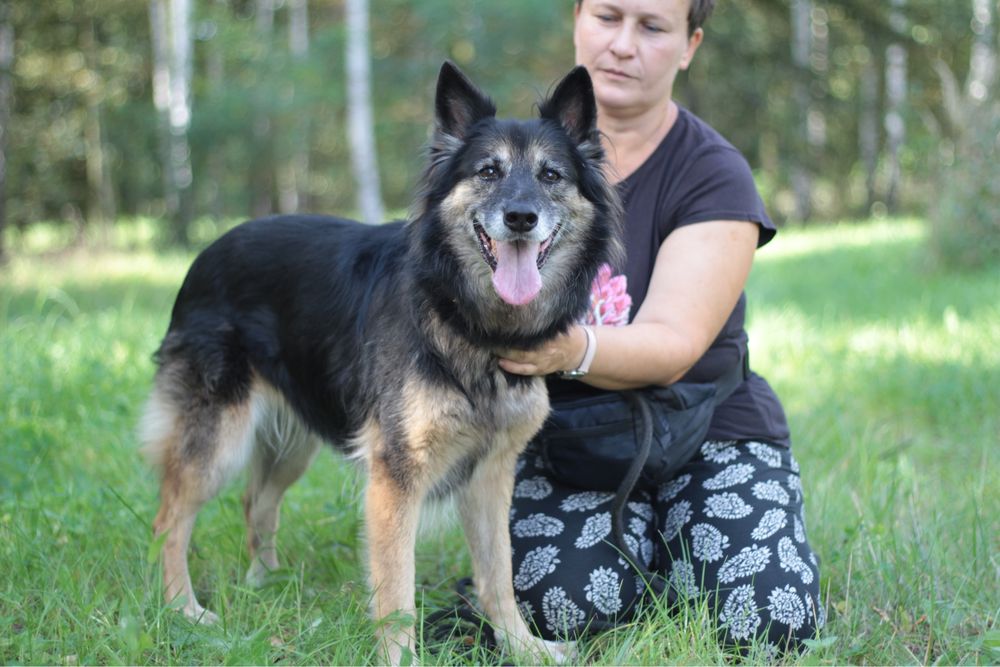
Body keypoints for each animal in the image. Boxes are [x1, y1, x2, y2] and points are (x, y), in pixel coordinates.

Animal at [139, 61, 624, 664]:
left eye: (552, 175)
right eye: (488, 171)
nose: (519, 217)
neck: (466, 319)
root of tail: (205, 253)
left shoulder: (490, 473)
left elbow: (498, 576)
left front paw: (522, 648)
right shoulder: (396, 477)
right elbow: (396, 593)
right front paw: (403, 657)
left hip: (292, 441)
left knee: (256, 501)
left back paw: (266, 585)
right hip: (217, 440)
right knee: (169, 520)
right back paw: (183, 610)